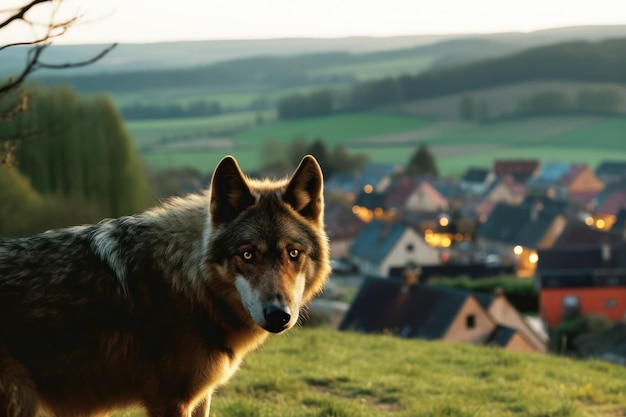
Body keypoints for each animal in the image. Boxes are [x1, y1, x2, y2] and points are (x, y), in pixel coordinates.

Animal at [0, 155, 332, 416]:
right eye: (248, 255)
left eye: (293, 254)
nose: (279, 315)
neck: (189, 283)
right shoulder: (171, 400)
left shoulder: (199, 397)